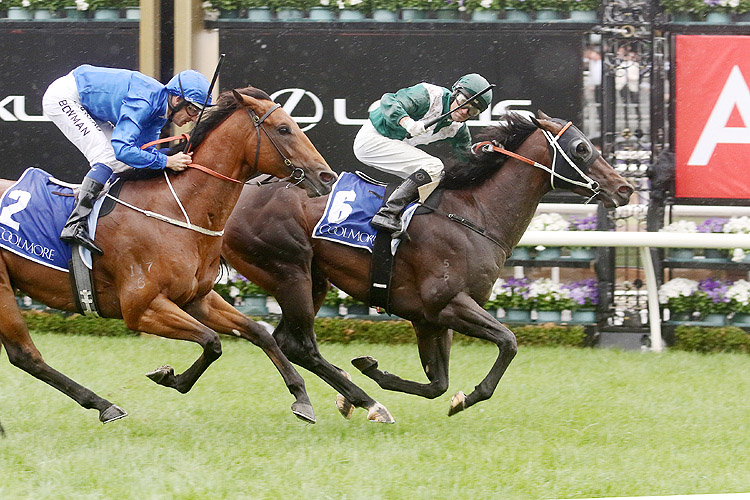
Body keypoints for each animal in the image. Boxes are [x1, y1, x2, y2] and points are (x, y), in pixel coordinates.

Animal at [0, 85, 338, 426]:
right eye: (284, 129)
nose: (327, 176)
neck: (177, 208)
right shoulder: (142, 308)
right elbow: (212, 341)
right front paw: (169, 376)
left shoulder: (197, 298)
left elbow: (258, 332)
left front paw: (301, 396)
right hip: (3, 290)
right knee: (25, 355)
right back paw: (104, 405)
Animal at [223, 110, 636, 422]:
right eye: (582, 148)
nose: (624, 188)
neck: (475, 216)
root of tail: (239, 194)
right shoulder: (447, 303)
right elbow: (508, 341)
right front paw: (467, 397)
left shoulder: (429, 319)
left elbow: (438, 384)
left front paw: (375, 369)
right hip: (288, 269)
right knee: (302, 344)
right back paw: (367, 402)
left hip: (313, 280)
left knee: (287, 340)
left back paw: (350, 394)